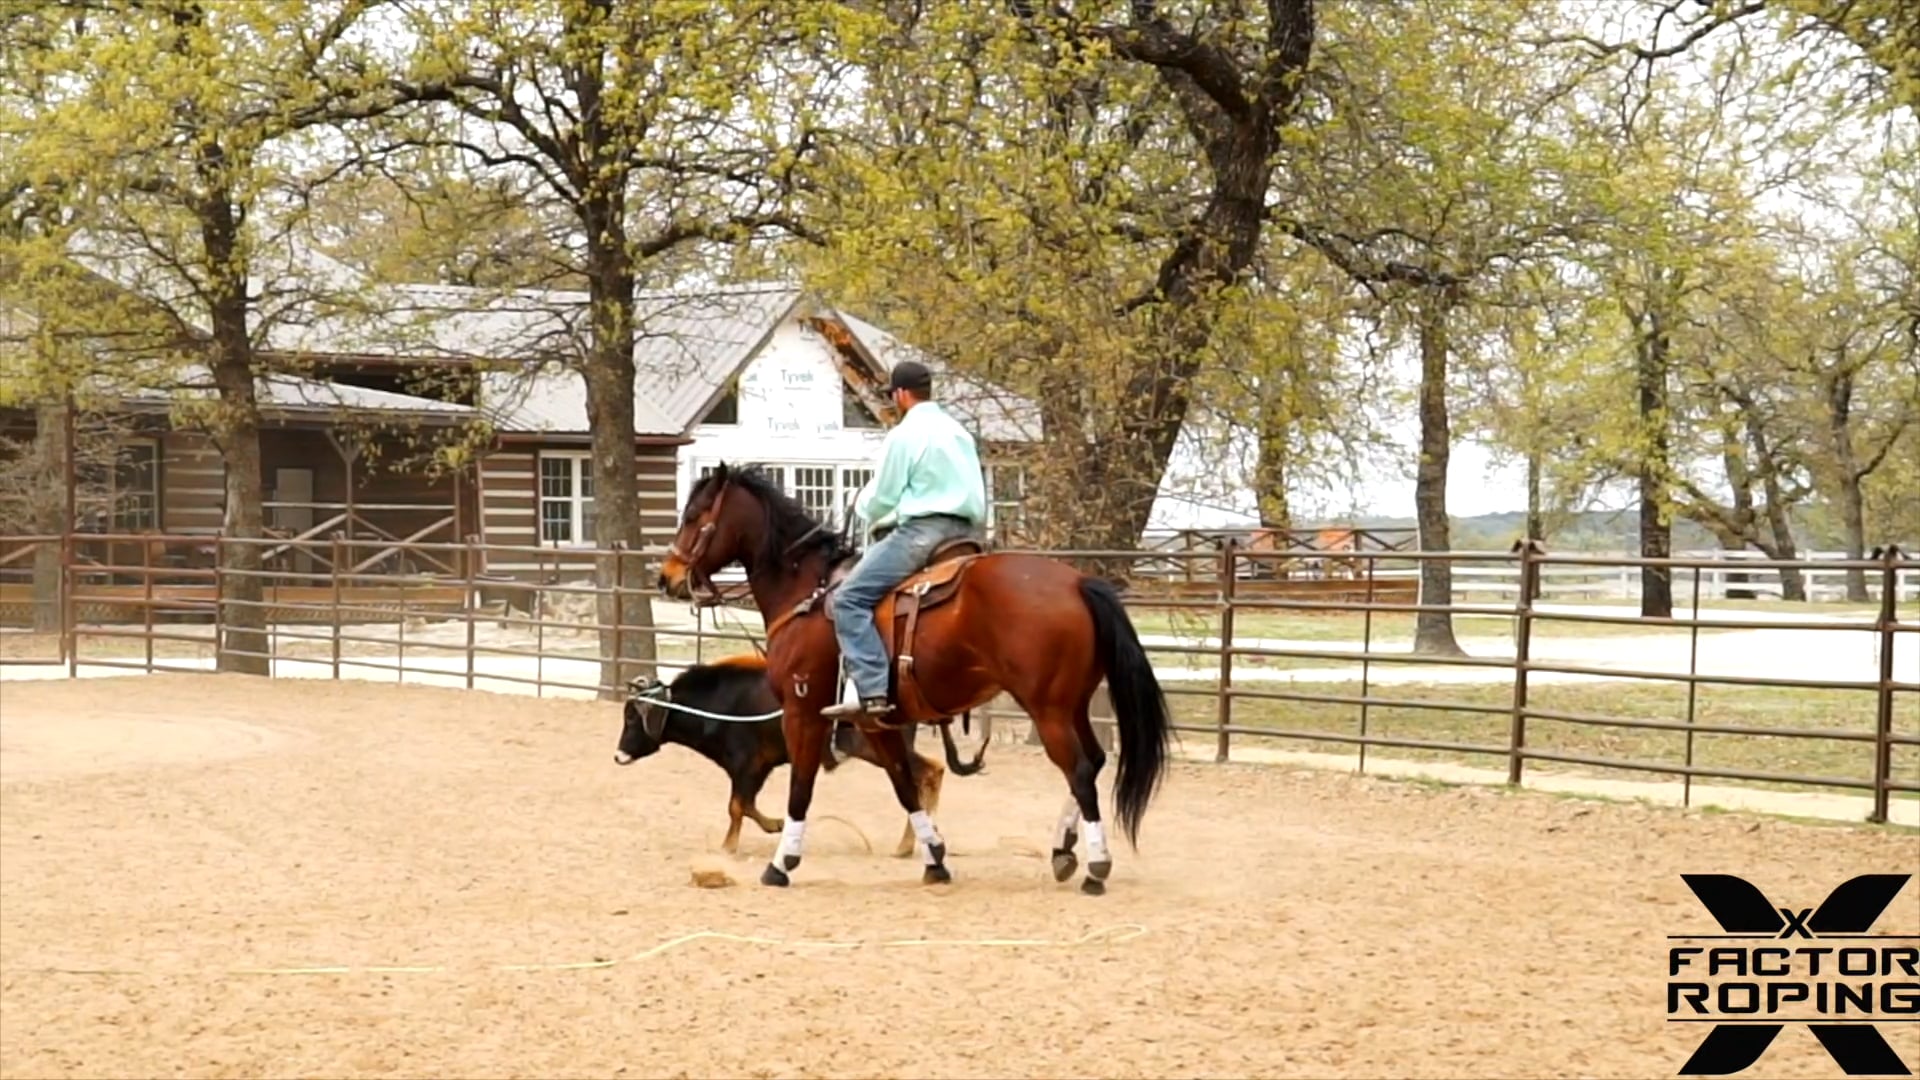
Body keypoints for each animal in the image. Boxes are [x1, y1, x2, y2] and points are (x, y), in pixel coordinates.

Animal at [615, 653, 990, 857]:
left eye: (632, 717)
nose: (619, 755)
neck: (719, 702)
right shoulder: (757, 768)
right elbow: (746, 805)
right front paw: (776, 824)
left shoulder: (747, 765)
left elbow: (737, 806)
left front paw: (730, 846)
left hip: (881, 749)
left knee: (931, 772)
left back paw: (911, 843)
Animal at [657, 462, 1172, 895]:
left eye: (694, 515)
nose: (668, 577)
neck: (807, 593)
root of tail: (1077, 582)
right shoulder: (876, 721)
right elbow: (904, 784)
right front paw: (935, 859)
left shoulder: (804, 712)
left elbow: (800, 788)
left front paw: (782, 863)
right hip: (1073, 703)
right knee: (1096, 761)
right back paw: (1063, 851)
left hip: (1047, 709)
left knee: (1080, 771)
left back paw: (1096, 866)